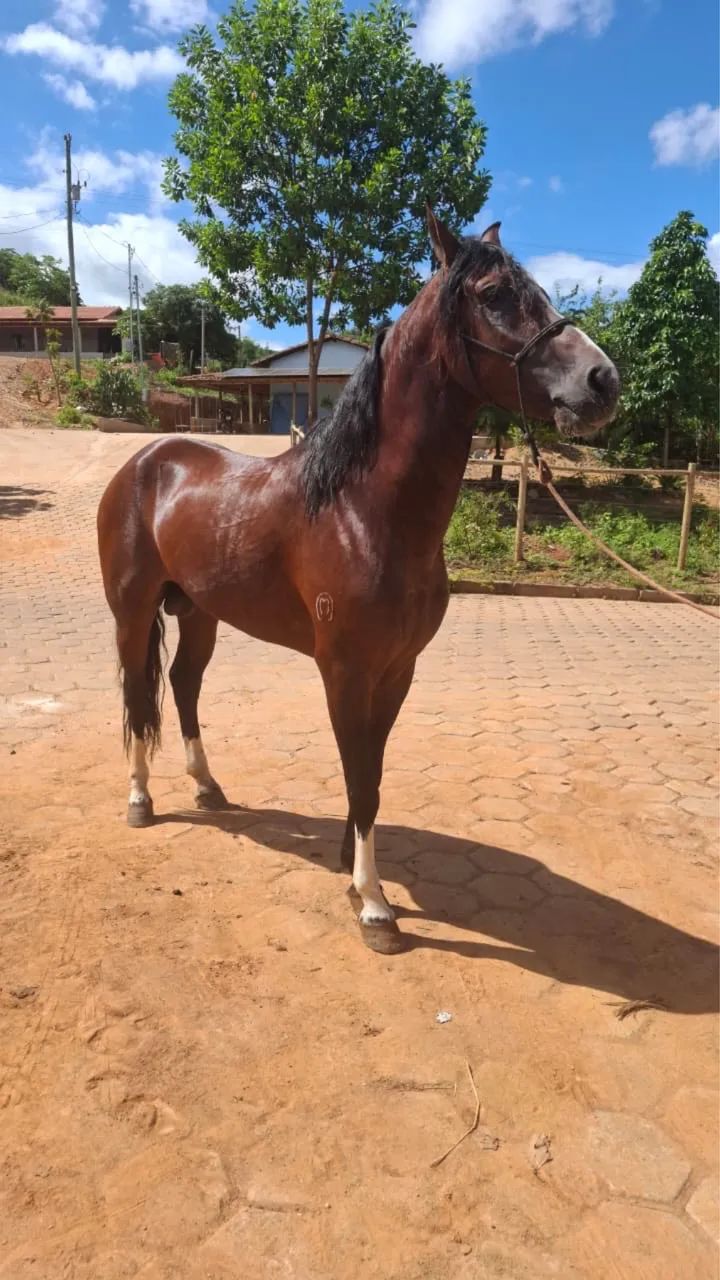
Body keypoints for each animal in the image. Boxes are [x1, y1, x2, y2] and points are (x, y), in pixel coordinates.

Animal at [97, 210, 619, 954]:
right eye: (494, 294)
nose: (603, 381)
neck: (362, 509)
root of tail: (144, 461)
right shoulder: (344, 669)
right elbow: (361, 776)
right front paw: (374, 905)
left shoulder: (397, 671)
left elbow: (368, 770)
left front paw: (351, 865)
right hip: (133, 610)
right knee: (139, 696)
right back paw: (141, 799)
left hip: (199, 612)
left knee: (183, 686)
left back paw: (207, 787)